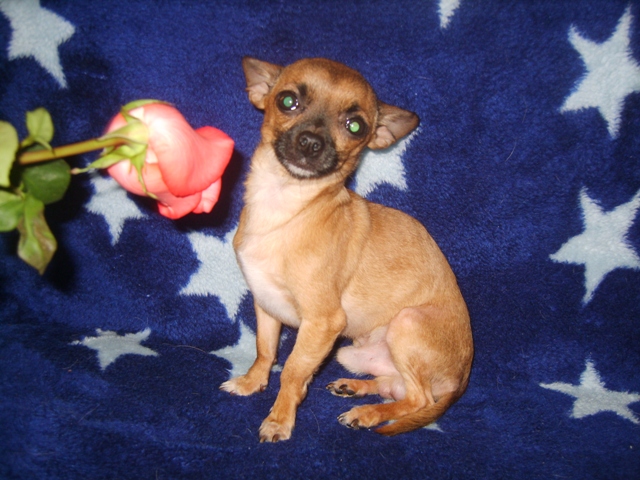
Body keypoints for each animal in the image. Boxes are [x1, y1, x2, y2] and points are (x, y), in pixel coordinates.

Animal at [221, 57, 473, 443]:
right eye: (287, 101)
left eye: (355, 126)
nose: (311, 142)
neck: (286, 206)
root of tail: (459, 383)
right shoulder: (266, 306)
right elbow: (266, 351)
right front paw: (252, 383)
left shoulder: (322, 324)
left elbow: (292, 370)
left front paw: (280, 419)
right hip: (350, 353)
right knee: (395, 387)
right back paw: (356, 390)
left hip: (406, 323)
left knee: (419, 399)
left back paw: (368, 414)